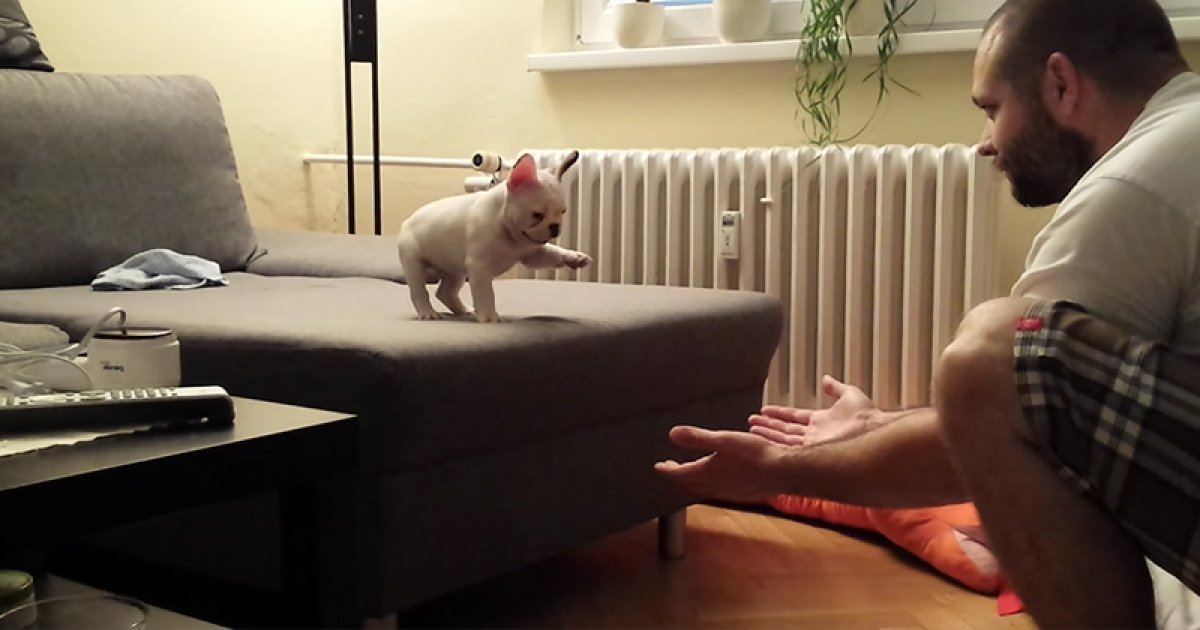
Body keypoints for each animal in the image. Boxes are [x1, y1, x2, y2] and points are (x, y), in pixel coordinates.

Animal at [396, 151, 591, 323]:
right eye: (537, 215)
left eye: (563, 212)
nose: (555, 227)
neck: (507, 229)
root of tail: (405, 223)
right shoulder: (479, 267)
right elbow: (486, 294)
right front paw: (490, 317)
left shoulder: (532, 253)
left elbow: (553, 252)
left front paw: (574, 257)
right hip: (413, 263)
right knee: (419, 292)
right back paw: (428, 313)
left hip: (456, 271)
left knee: (445, 292)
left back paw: (464, 310)